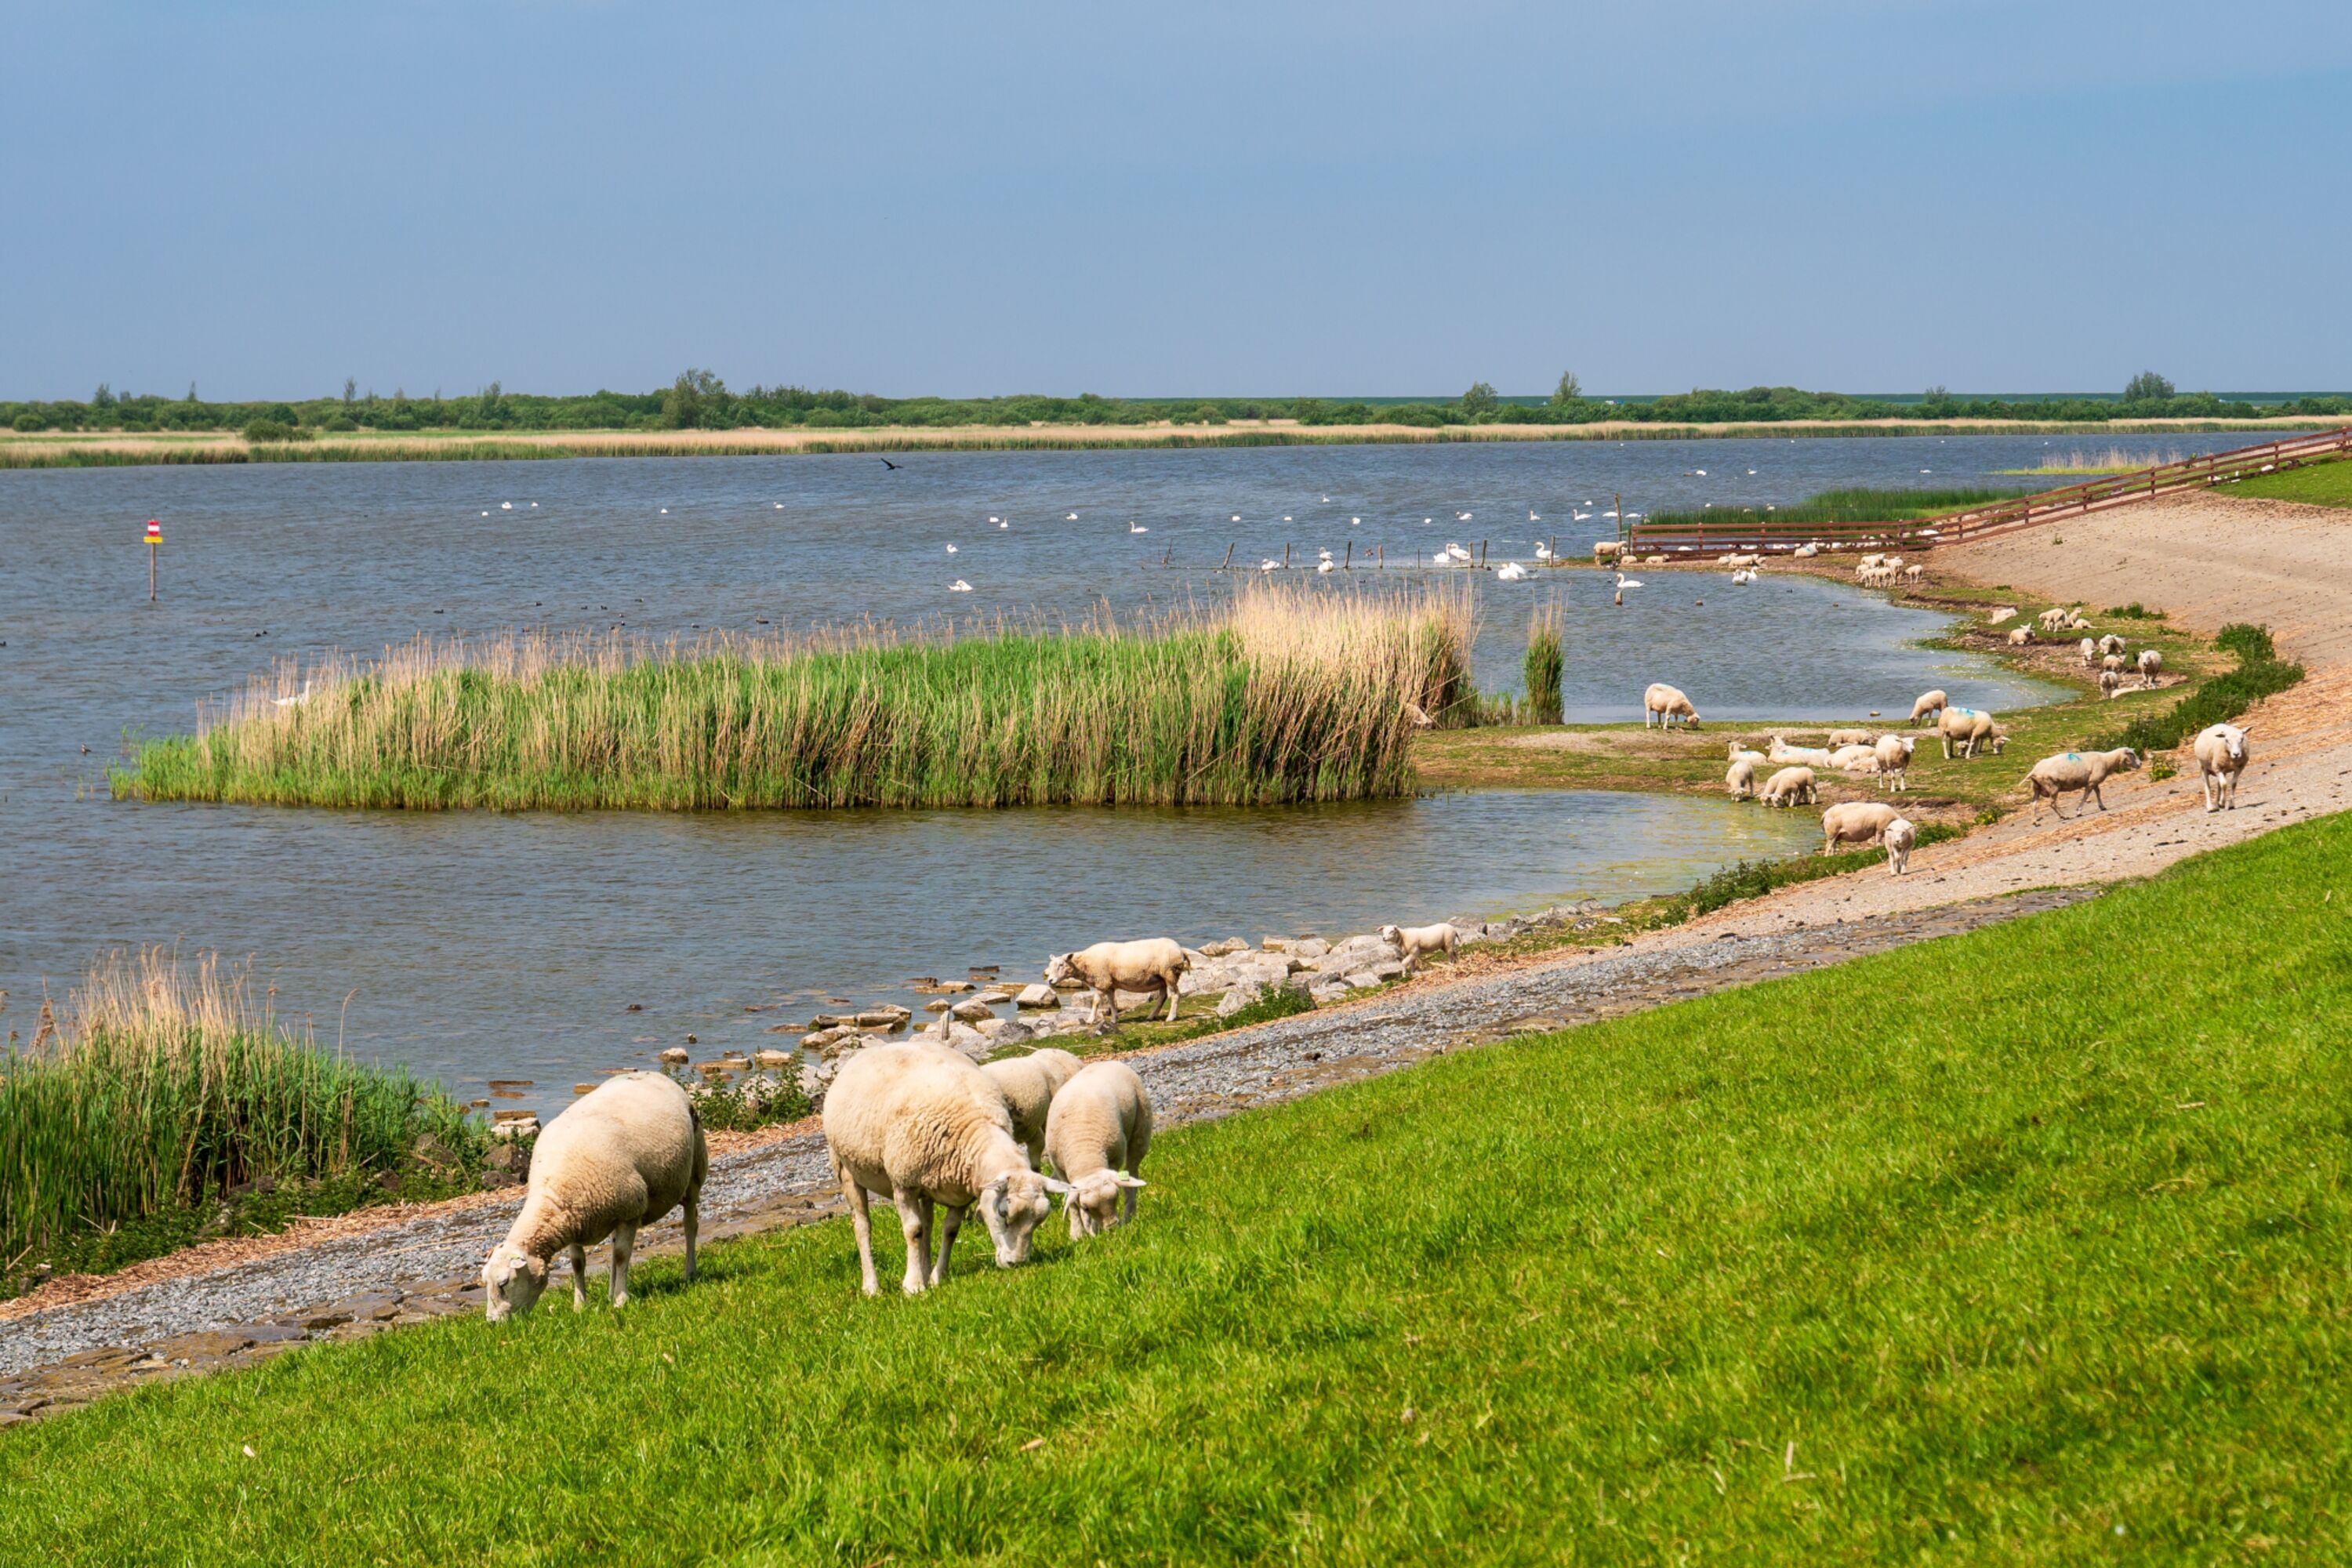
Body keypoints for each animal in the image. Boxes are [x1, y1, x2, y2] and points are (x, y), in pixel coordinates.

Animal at [482, 1071, 707, 1321]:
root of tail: (654, 1074)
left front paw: (621, 1301)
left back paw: (690, 1272)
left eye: (504, 1283)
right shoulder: (572, 1222)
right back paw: (610, 1291)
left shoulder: (630, 1212)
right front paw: (580, 1306)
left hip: (694, 1173)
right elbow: (578, 1264)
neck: (553, 1196)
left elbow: (621, 1256)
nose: (492, 1323)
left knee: (690, 1225)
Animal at [823, 1043, 1070, 1296]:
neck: (974, 1128)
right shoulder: (903, 1183)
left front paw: (936, 1278)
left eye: (1039, 1220)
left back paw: (924, 1269)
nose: (1016, 1263)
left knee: (928, 1223)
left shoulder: (960, 1192)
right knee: (863, 1226)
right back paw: (872, 1287)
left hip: (928, 1183)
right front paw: (913, 1286)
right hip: (845, 1168)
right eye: (1003, 1213)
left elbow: (950, 1231)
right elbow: (913, 1231)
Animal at [1043, 1061, 1152, 1238]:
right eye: (1086, 1208)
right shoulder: (1060, 1170)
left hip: (1142, 1126)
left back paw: (1130, 1216)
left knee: (1132, 1172)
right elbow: (1073, 1205)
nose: (1112, 1228)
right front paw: (1078, 1234)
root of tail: (1108, 1061)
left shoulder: (1114, 1158)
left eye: (1115, 1198)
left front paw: (1094, 1229)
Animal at [1044, 938, 1190, 1026]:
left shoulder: (1102, 981)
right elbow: (1111, 1002)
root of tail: (1181, 950)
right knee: (1162, 997)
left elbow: (1096, 1002)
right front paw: (1114, 1019)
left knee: (1175, 995)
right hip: (1161, 978)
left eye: (1062, 965)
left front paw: (1090, 1020)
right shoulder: (1109, 984)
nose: (1050, 980)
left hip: (1169, 973)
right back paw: (1151, 1016)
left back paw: (1171, 1017)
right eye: (1051, 965)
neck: (1085, 963)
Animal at [2024, 747, 2143, 822]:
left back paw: (2035, 822)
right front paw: (2079, 811)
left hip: (2037, 788)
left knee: (2033, 804)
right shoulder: (2091, 782)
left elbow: (2098, 793)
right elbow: (2086, 796)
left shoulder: (2094, 781)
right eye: (2131, 754)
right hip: (2052, 787)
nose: (2140, 764)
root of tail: (2034, 770)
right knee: (2052, 804)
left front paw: (2102, 806)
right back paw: (2064, 816)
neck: (2107, 760)